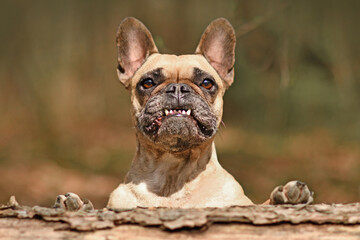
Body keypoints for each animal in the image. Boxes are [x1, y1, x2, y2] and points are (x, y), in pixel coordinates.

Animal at [53, 17, 312, 210]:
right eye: (147, 83)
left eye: (207, 83)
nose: (178, 88)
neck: (172, 174)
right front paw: (76, 208)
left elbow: (261, 204)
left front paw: (285, 198)